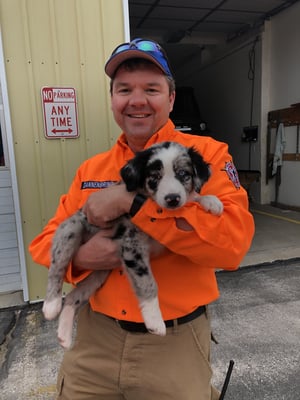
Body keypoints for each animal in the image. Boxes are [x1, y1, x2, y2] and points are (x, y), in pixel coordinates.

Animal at [43, 142, 224, 348]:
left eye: (183, 174)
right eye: (155, 178)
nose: (172, 198)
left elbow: (191, 199)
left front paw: (211, 201)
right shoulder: (132, 244)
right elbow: (147, 283)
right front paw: (155, 321)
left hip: (99, 274)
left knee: (73, 298)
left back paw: (64, 336)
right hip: (69, 230)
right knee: (57, 265)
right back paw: (51, 305)